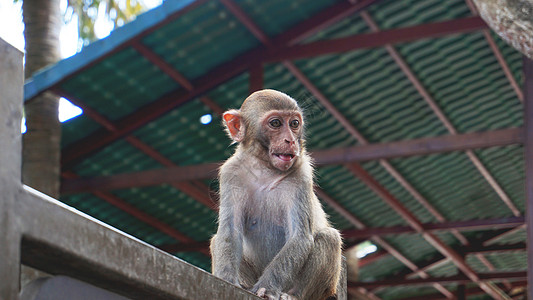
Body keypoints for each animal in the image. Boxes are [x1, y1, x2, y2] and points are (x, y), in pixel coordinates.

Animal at [210, 89, 342, 300]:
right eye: (275, 123)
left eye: (294, 124)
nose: (291, 140)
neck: (265, 168)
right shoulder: (231, 173)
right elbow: (230, 231)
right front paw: (226, 280)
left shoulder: (302, 175)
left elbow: (299, 236)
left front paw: (266, 288)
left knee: (329, 237)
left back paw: (293, 295)